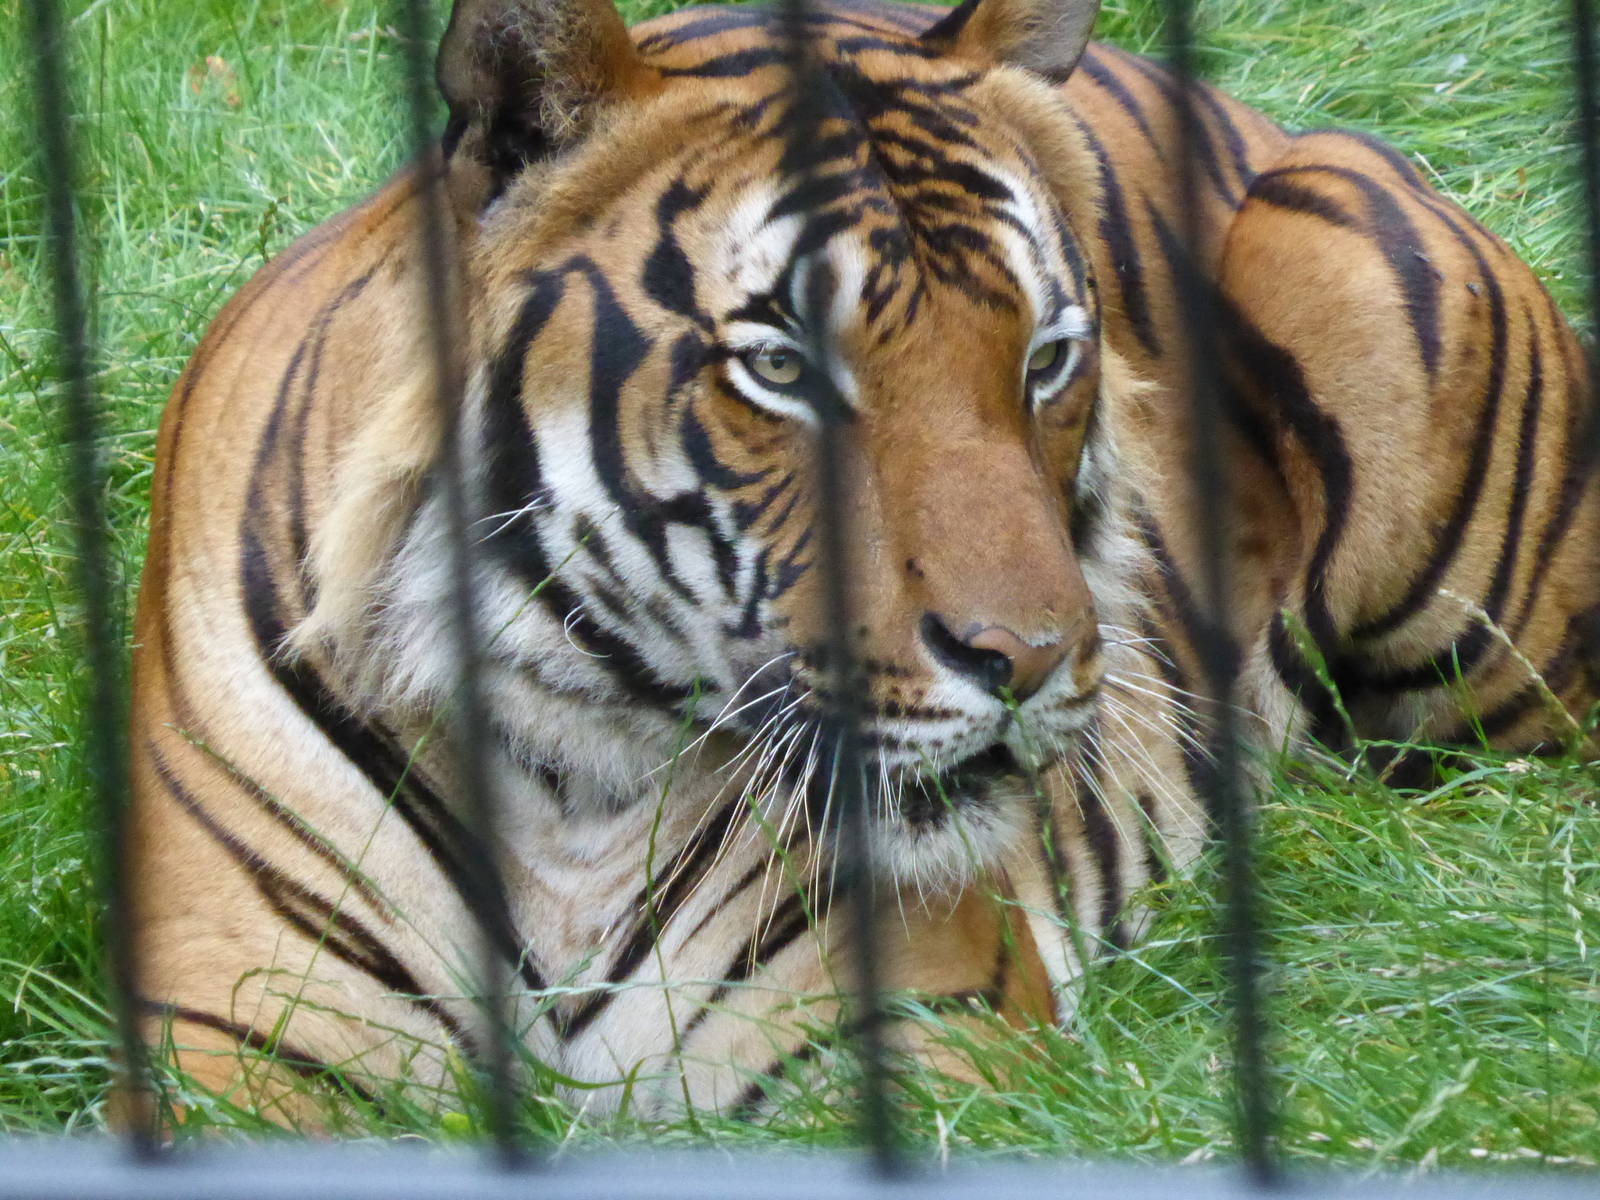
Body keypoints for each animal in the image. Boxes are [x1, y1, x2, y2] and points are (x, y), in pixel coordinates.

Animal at [128, 0, 1600, 1125]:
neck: (575, 775)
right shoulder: (237, 1044)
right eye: (782, 366)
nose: (1031, 662)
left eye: (1047, 357)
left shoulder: (912, 1043)